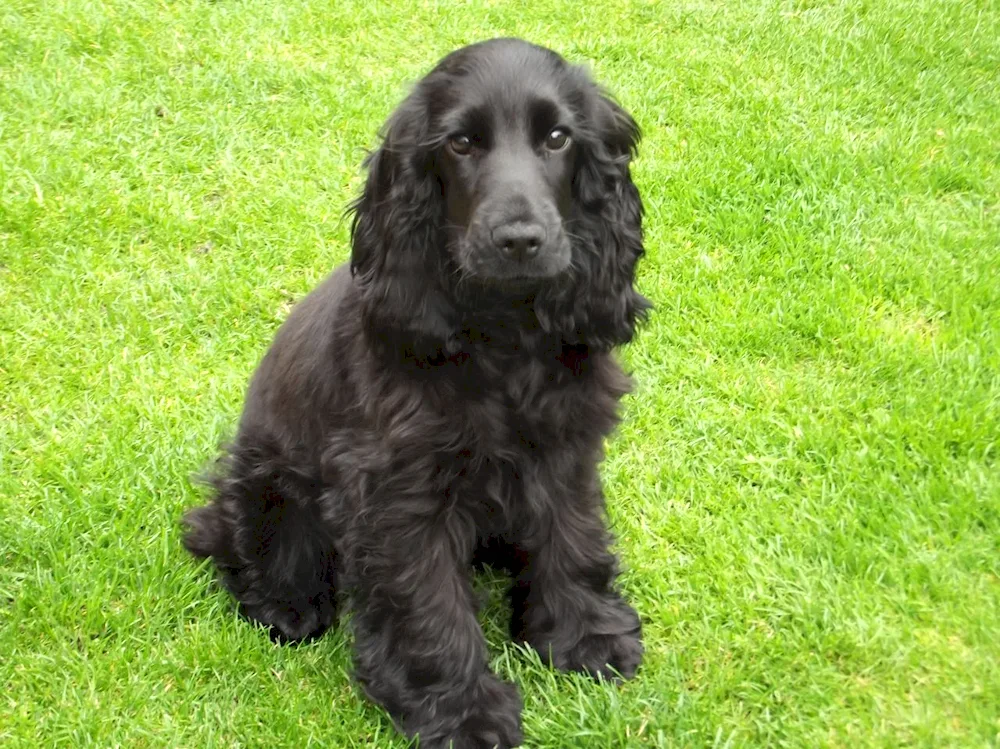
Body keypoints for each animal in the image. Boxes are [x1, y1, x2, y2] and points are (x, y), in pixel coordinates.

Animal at [184, 36, 652, 748]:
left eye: (557, 138)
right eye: (460, 143)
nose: (520, 241)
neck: (502, 335)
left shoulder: (565, 447)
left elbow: (571, 538)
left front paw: (585, 639)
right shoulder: (398, 492)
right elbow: (428, 603)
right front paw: (461, 713)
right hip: (265, 478)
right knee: (225, 535)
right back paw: (286, 605)